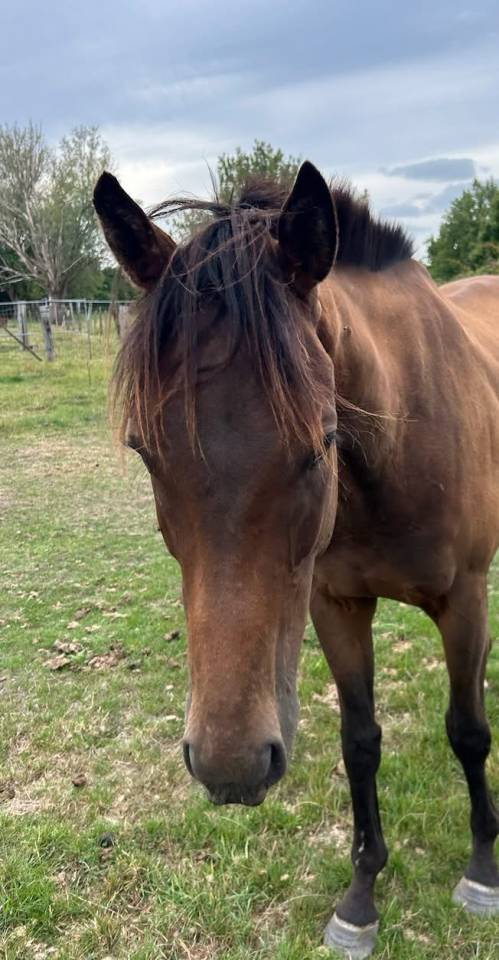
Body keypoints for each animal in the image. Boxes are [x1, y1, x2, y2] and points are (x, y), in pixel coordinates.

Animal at [93, 161, 499, 957]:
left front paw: (481, 870)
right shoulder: (334, 605)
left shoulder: (464, 600)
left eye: (319, 446)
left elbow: (467, 730)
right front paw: (360, 898)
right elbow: (360, 741)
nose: (230, 766)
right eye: (145, 452)